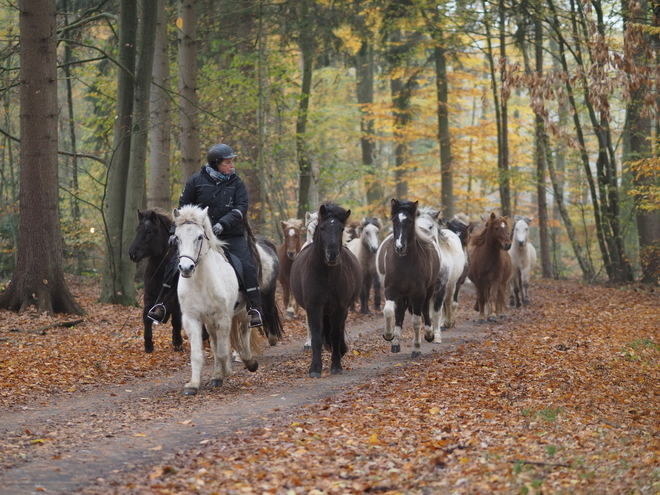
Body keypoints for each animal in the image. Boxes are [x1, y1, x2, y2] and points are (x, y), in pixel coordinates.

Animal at [128, 207, 183, 354]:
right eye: (137, 230)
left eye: (149, 231)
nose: (132, 254)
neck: (162, 270)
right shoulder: (149, 295)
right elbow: (147, 317)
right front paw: (148, 344)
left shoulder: (176, 298)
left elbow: (176, 320)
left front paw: (178, 343)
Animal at [173, 204, 260, 396]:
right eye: (177, 238)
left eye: (199, 237)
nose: (186, 268)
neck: (201, 283)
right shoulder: (192, 318)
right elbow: (198, 354)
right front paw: (193, 385)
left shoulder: (223, 318)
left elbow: (222, 351)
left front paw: (227, 371)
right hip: (209, 321)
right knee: (214, 342)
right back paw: (217, 376)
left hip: (243, 313)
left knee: (244, 332)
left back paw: (249, 362)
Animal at [290, 203, 360, 378]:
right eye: (322, 228)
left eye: (341, 229)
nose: (332, 255)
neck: (327, 274)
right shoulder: (314, 307)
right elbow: (316, 337)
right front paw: (315, 369)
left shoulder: (340, 308)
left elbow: (335, 335)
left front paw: (336, 365)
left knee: (339, 330)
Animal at [374, 200, 440, 358]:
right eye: (394, 220)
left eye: (410, 221)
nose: (399, 247)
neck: (404, 263)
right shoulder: (391, 289)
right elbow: (389, 311)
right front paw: (389, 335)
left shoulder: (418, 293)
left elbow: (416, 321)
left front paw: (416, 348)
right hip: (401, 294)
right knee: (399, 313)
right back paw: (395, 343)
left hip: (428, 289)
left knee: (425, 308)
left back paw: (429, 335)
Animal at [418, 207, 464, 342]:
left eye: (430, 226)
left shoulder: (441, 286)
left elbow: (437, 311)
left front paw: (437, 335)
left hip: (451, 285)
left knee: (447, 302)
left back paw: (449, 322)